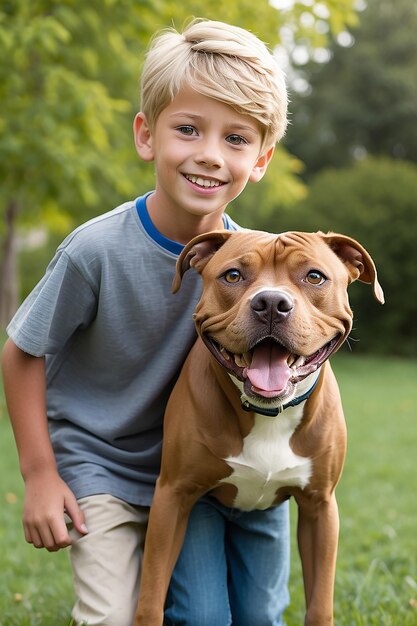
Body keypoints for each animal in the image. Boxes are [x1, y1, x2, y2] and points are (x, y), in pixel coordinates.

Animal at [134, 229, 384, 624]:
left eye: (315, 277)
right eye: (233, 276)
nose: (271, 303)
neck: (269, 415)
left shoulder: (320, 507)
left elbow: (320, 604)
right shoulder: (172, 496)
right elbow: (151, 595)